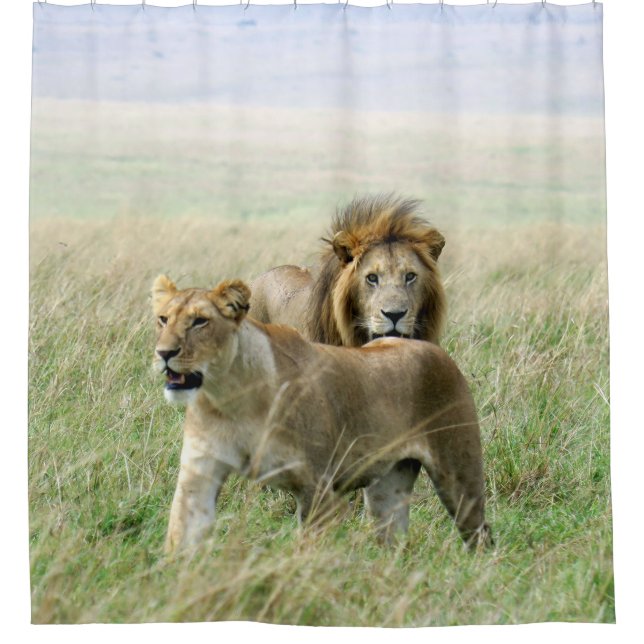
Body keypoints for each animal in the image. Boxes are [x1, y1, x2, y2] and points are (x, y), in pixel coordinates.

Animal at [152, 275, 491, 553]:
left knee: (481, 534)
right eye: (162, 319)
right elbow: (180, 537)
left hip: (458, 475)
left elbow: (308, 552)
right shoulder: (199, 474)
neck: (230, 395)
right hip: (388, 489)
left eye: (200, 322)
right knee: (394, 543)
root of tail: (434, 350)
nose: (164, 353)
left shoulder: (317, 487)